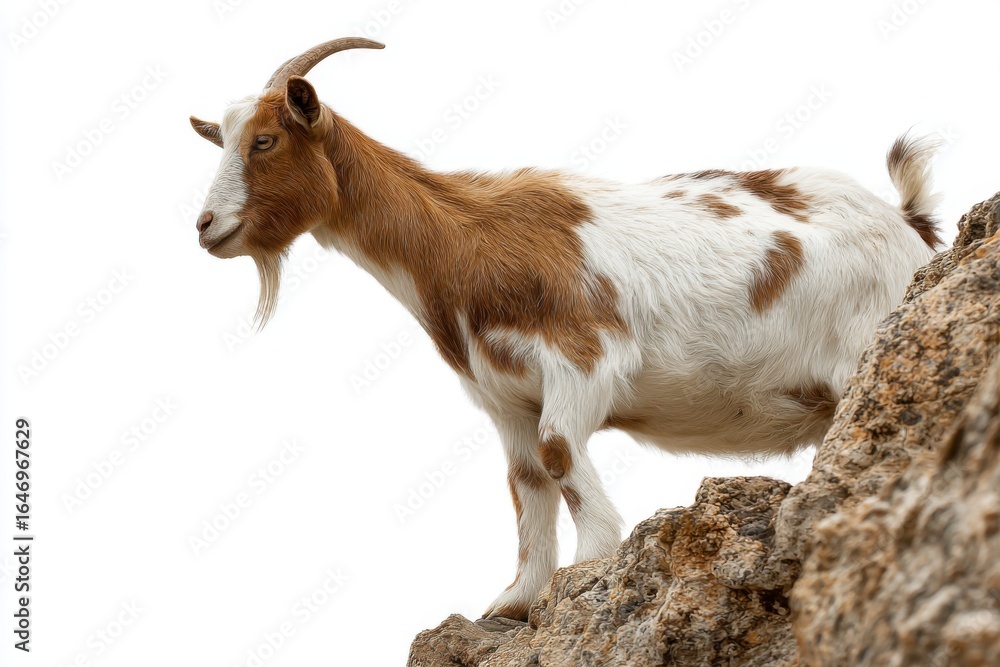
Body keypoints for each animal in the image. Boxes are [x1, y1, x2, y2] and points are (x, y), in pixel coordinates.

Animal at [190, 38, 941, 620]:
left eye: (265, 139)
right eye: (222, 142)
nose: (205, 226)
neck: (463, 240)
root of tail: (909, 223)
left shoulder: (580, 360)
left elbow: (557, 454)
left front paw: (589, 565)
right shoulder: (503, 396)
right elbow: (525, 482)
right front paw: (515, 600)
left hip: (860, 356)